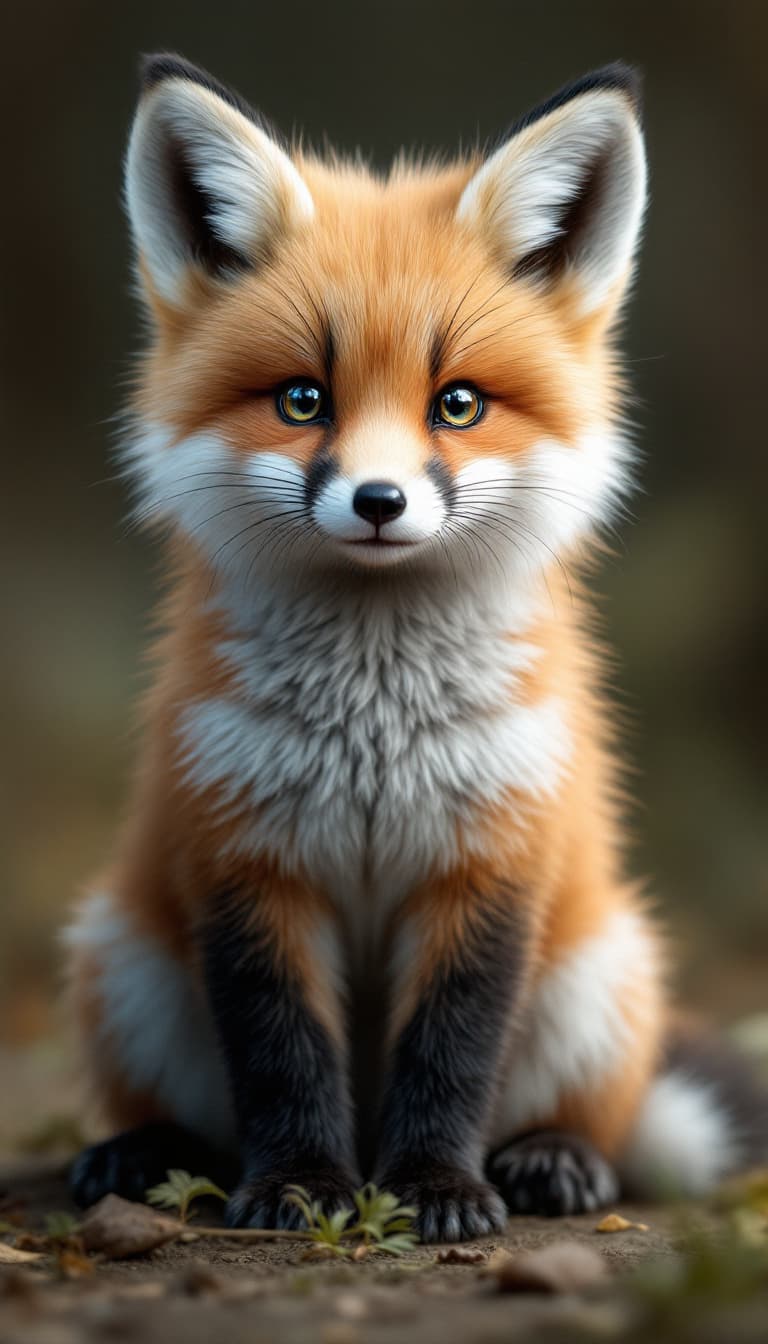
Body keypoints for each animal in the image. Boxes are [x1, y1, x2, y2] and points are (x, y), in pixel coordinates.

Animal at [66, 53, 766, 1242]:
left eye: (459, 404)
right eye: (304, 400)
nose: (380, 501)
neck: (374, 728)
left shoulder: (490, 863)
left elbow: (451, 1055)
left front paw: (436, 1188)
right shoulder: (245, 862)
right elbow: (283, 1056)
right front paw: (302, 1185)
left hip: (597, 972)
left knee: (599, 1121)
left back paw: (553, 1160)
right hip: (129, 961)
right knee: (195, 1119)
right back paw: (147, 1154)